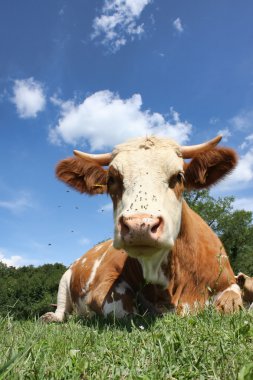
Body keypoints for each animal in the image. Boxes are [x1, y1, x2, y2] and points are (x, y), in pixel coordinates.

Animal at [41, 135, 243, 322]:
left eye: (179, 176)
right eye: (111, 179)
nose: (140, 226)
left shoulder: (228, 282)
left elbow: (232, 302)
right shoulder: (103, 288)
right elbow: (123, 311)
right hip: (65, 279)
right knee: (62, 309)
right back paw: (52, 317)